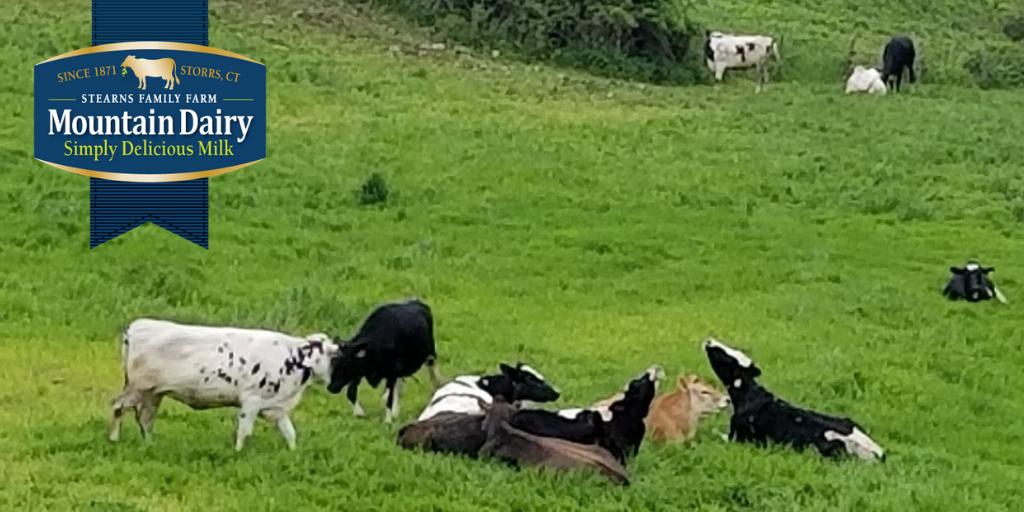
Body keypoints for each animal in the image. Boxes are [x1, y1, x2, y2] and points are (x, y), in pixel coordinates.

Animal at [110, 319, 337, 452]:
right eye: (334, 356)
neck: (292, 359)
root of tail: (135, 327)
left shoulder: (277, 407)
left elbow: (290, 433)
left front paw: (293, 454)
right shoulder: (251, 401)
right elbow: (244, 430)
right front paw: (238, 453)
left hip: (153, 393)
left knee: (146, 418)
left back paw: (149, 445)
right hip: (138, 387)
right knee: (118, 406)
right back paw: (114, 439)